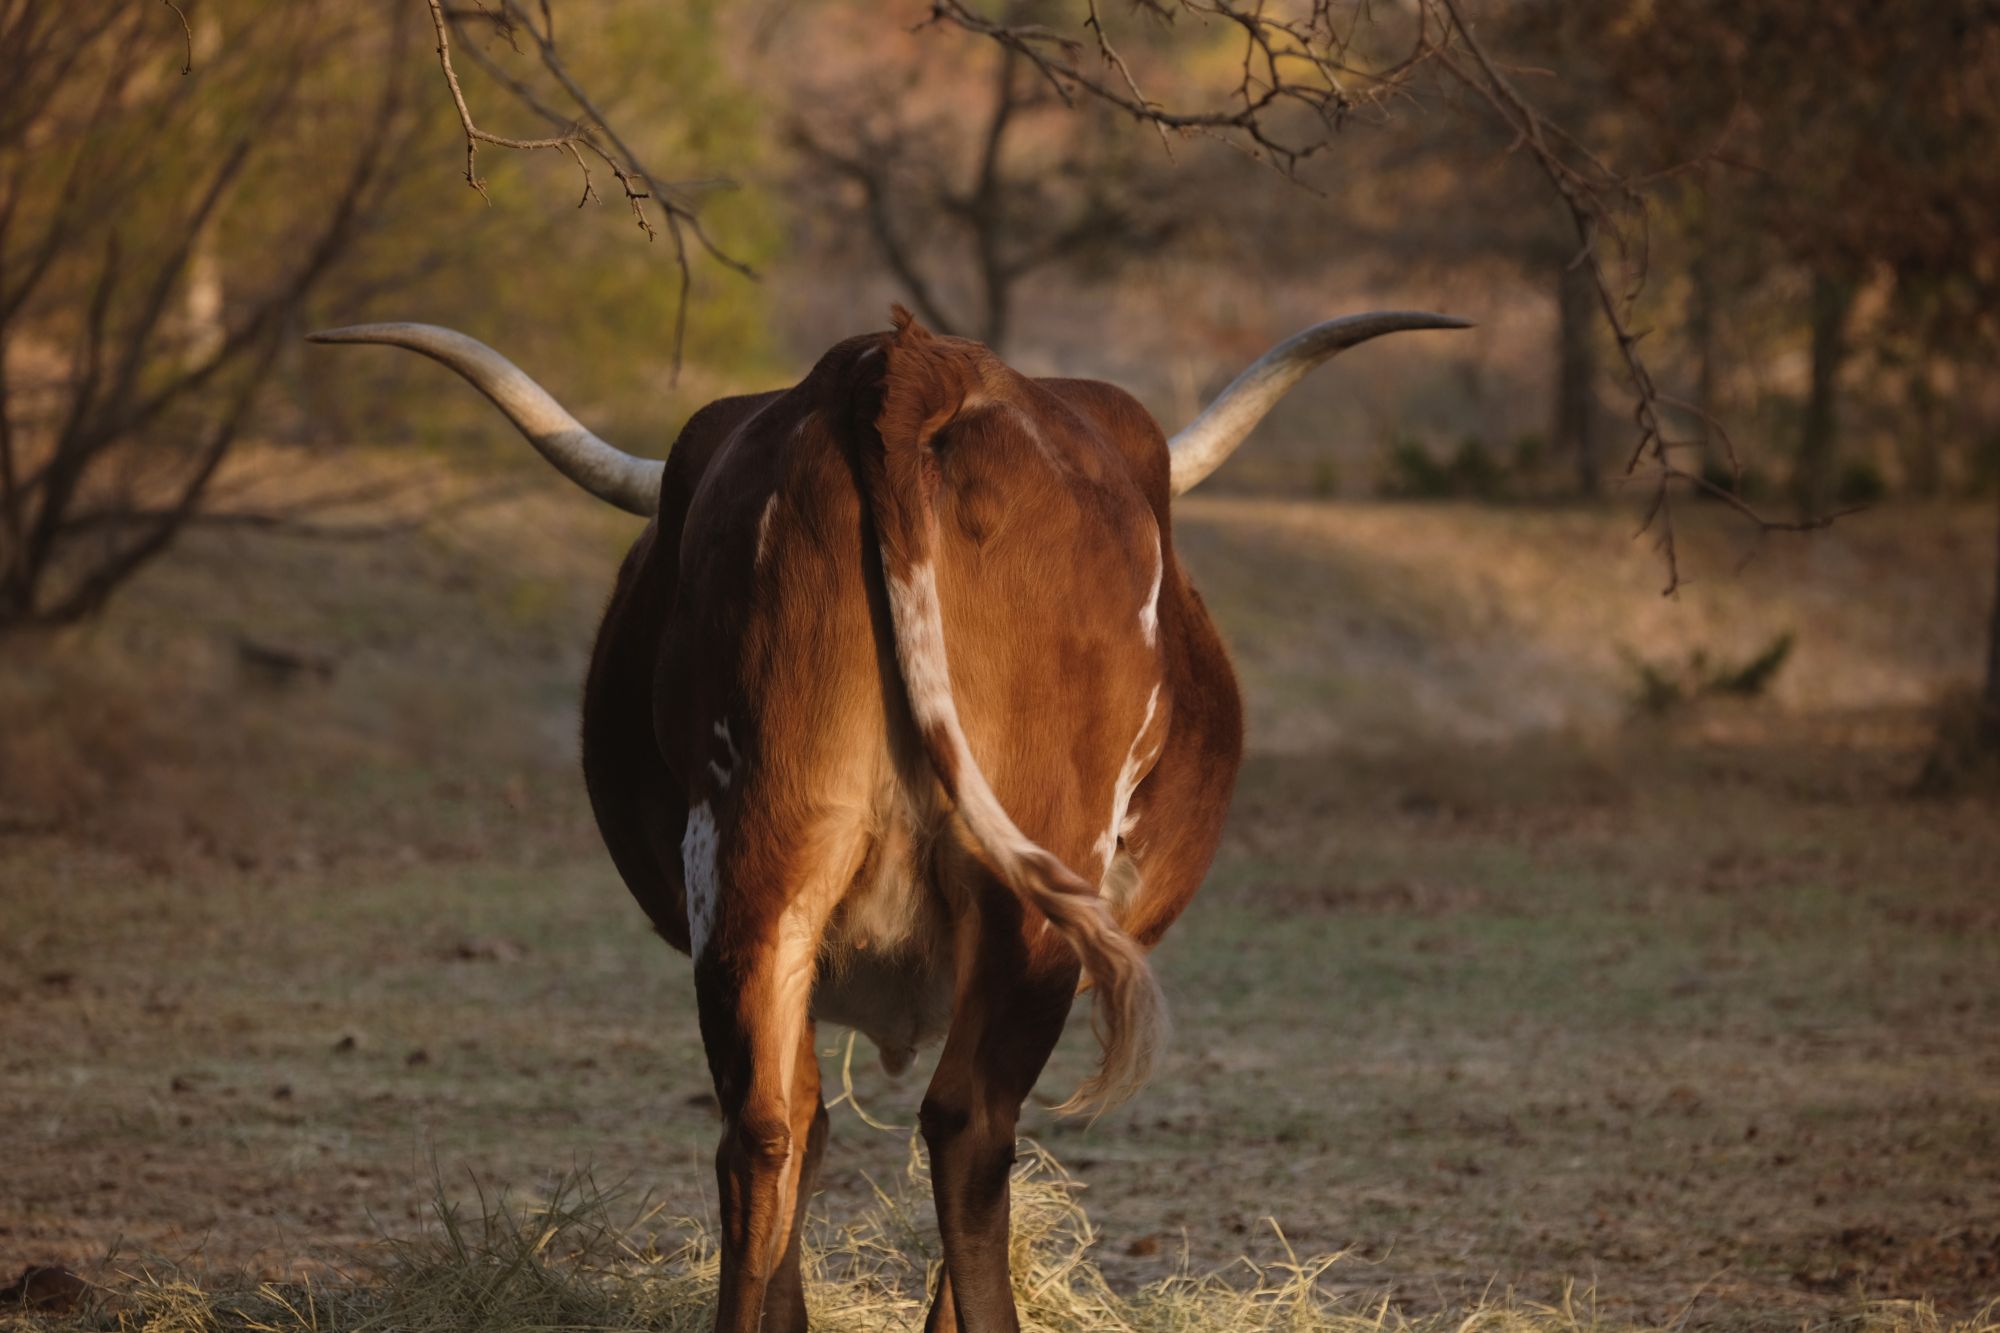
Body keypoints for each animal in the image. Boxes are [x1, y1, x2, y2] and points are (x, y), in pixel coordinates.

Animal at [304, 304, 1464, 1328]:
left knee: (767, 1129)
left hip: (757, 863)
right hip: (1036, 888)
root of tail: (904, 363)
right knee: (967, 1126)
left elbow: (806, 1126)